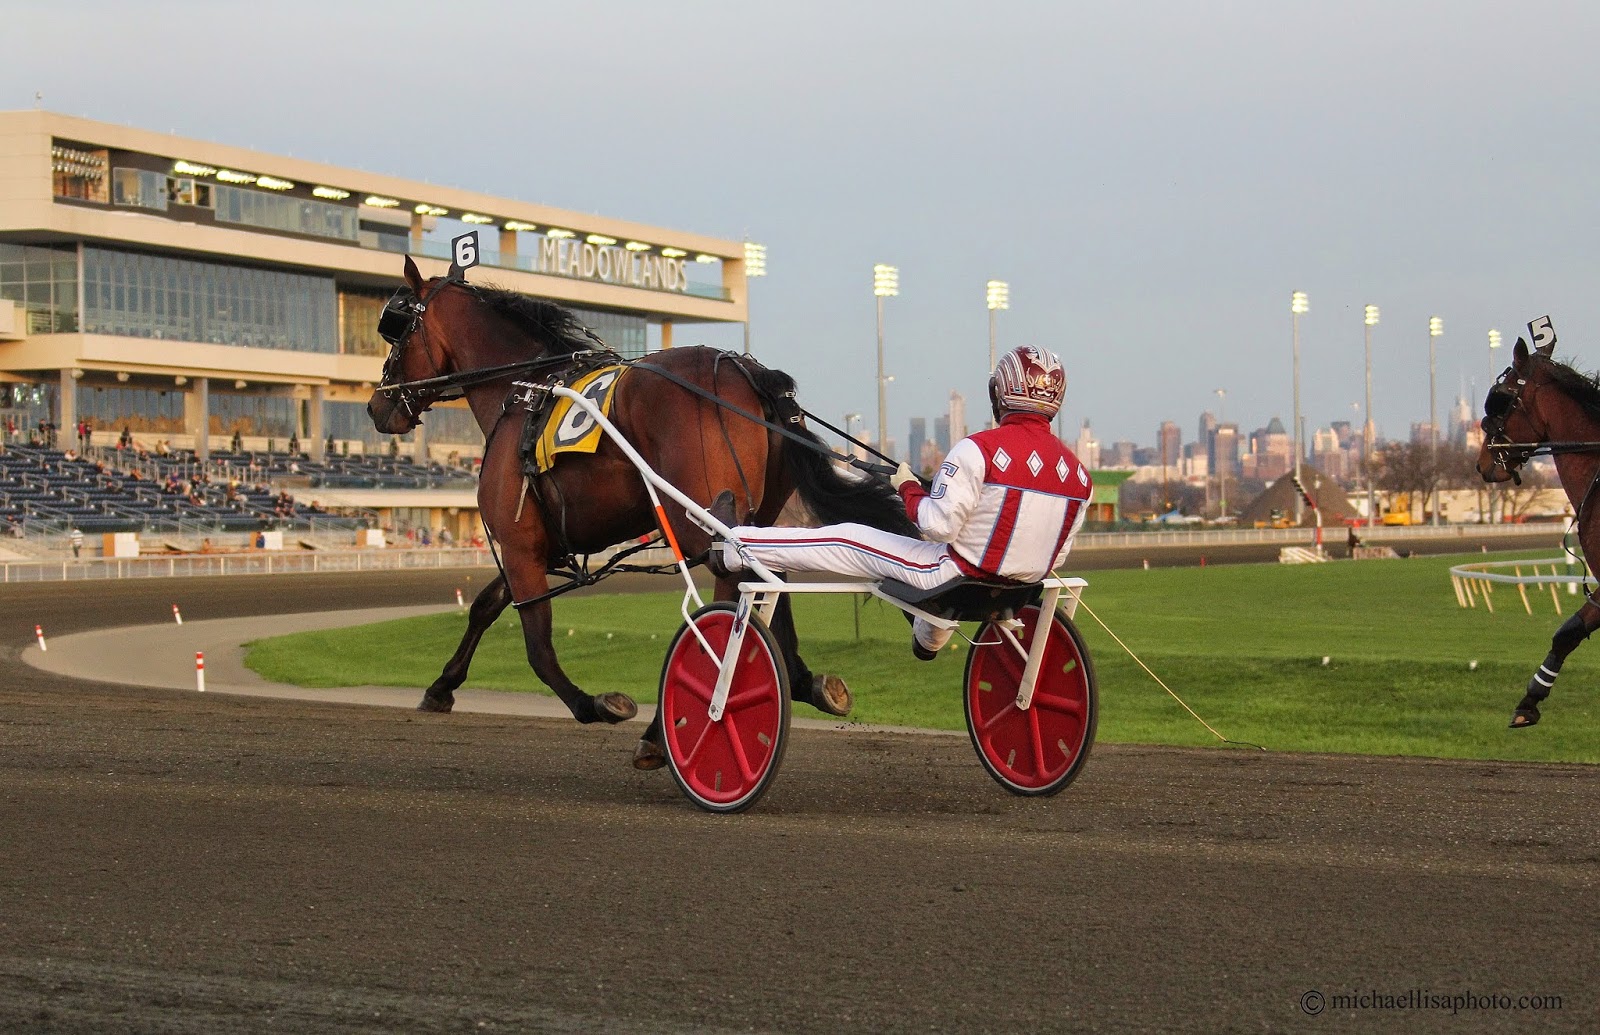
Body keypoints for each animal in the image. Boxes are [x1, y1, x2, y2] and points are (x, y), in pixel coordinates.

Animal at [363, 254, 915, 764]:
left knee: (733, 582)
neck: (524, 393)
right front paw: (440, 688)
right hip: (756, 514)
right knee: (768, 574)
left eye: (397, 329)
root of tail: (741, 368)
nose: (376, 405)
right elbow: (484, 604)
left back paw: (672, 726)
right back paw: (799, 680)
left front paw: (596, 703)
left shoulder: (518, 542)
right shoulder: (536, 544)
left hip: (700, 519)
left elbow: (537, 646)